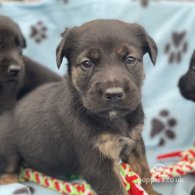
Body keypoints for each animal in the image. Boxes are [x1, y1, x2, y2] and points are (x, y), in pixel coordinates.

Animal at [0, 20, 158, 195]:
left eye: (130, 59)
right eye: (86, 64)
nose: (114, 94)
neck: (114, 118)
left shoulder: (134, 142)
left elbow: (144, 171)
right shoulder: (98, 163)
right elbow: (117, 190)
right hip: (8, 147)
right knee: (9, 168)